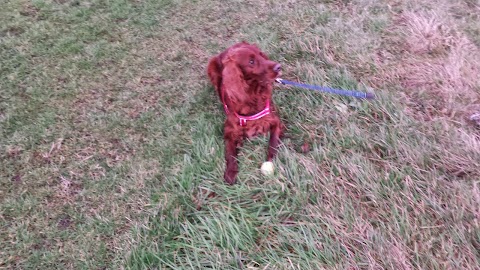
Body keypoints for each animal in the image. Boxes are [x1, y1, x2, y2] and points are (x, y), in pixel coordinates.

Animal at [207, 42, 284, 185]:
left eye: (261, 55)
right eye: (251, 61)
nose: (278, 67)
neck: (252, 96)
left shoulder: (274, 121)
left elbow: (273, 142)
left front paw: (270, 160)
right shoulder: (229, 131)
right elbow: (230, 153)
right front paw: (230, 172)